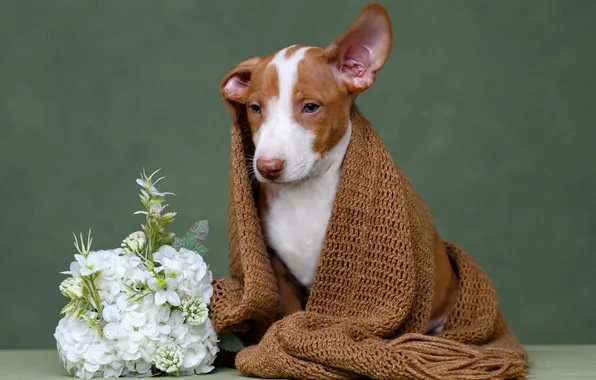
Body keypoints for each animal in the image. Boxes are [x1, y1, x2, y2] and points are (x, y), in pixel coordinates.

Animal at [219, 2, 456, 336]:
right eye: (255, 108)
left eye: (310, 107)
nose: (267, 167)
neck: (305, 193)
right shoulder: (278, 271)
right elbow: (290, 316)